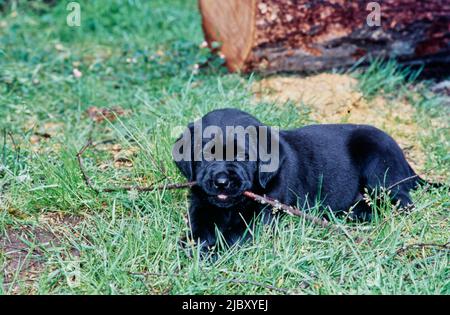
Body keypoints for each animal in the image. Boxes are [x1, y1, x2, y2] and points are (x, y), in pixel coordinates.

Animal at [174, 108, 434, 252]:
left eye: (243, 155)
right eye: (204, 153)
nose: (221, 181)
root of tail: (406, 162)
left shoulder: (264, 214)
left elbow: (235, 234)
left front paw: (211, 251)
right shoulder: (200, 203)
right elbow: (200, 227)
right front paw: (192, 244)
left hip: (379, 166)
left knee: (400, 203)